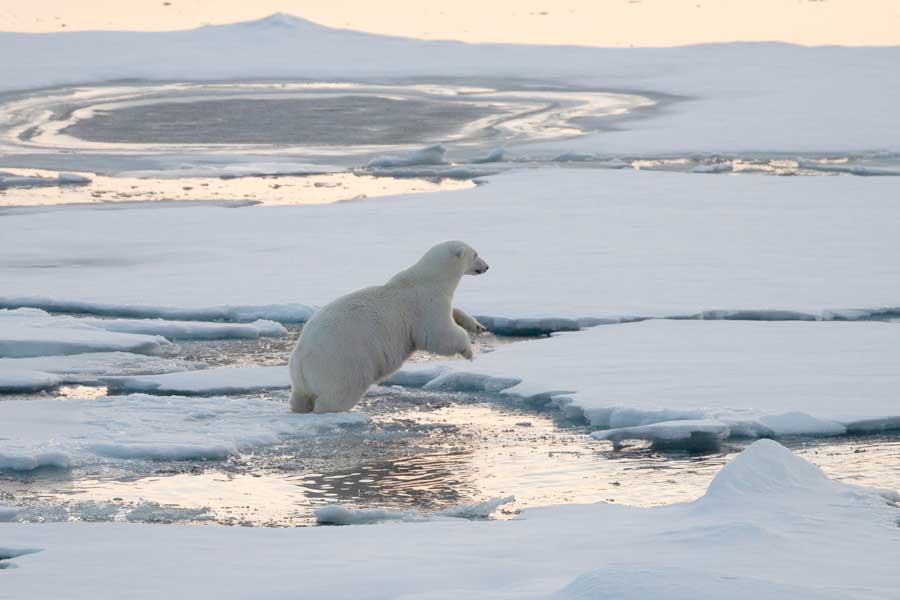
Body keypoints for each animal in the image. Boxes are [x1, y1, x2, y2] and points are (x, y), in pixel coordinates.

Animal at [288, 239, 488, 412]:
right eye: (476, 254)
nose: (487, 266)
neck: (429, 279)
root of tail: (300, 361)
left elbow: (454, 314)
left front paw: (477, 326)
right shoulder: (425, 306)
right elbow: (437, 334)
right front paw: (469, 351)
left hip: (303, 380)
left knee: (300, 398)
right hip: (342, 363)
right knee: (338, 394)